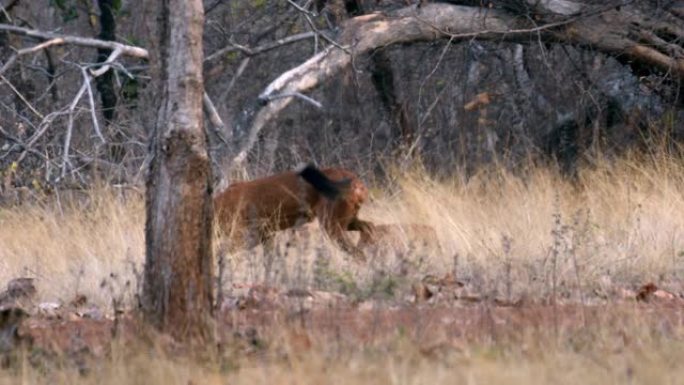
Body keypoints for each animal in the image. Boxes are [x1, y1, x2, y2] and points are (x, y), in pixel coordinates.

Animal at [214, 164, 374, 260]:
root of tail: (357, 182)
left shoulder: (243, 235)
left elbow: (221, 254)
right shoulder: (265, 235)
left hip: (331, 225)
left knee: (358, 253)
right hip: (346, 220)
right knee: (369, 227)